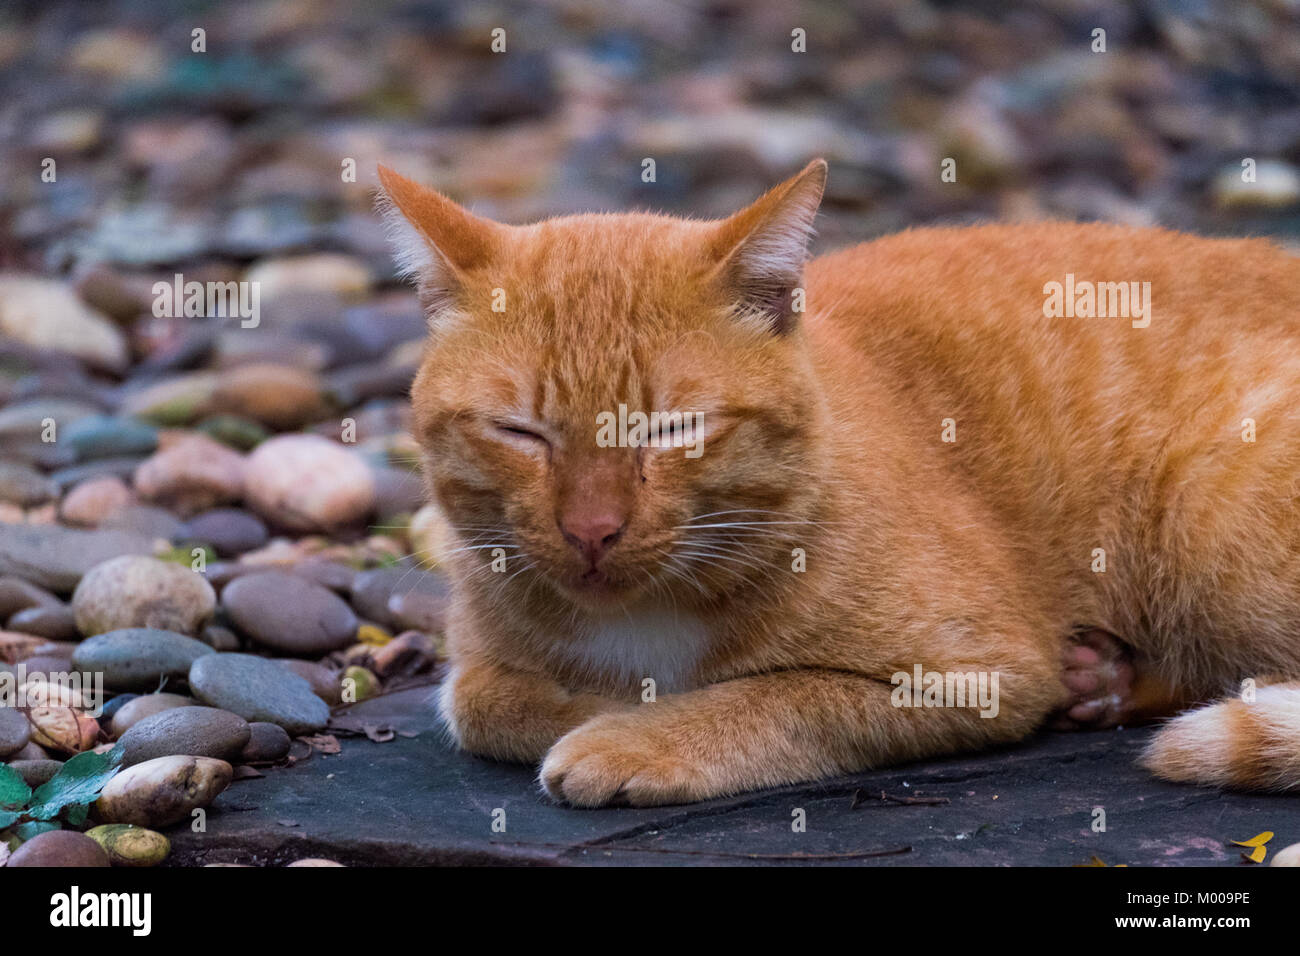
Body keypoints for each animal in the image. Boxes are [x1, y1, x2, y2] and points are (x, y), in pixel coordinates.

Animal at [374, 160, 1300, 806]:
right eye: (520, 433)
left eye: (672, 429)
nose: (592, 530)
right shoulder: (479, 647)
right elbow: (479, 700)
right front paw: (598, 708)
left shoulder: (979, 672)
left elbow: (777, 697)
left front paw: (632, 734)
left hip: (1204, 509)